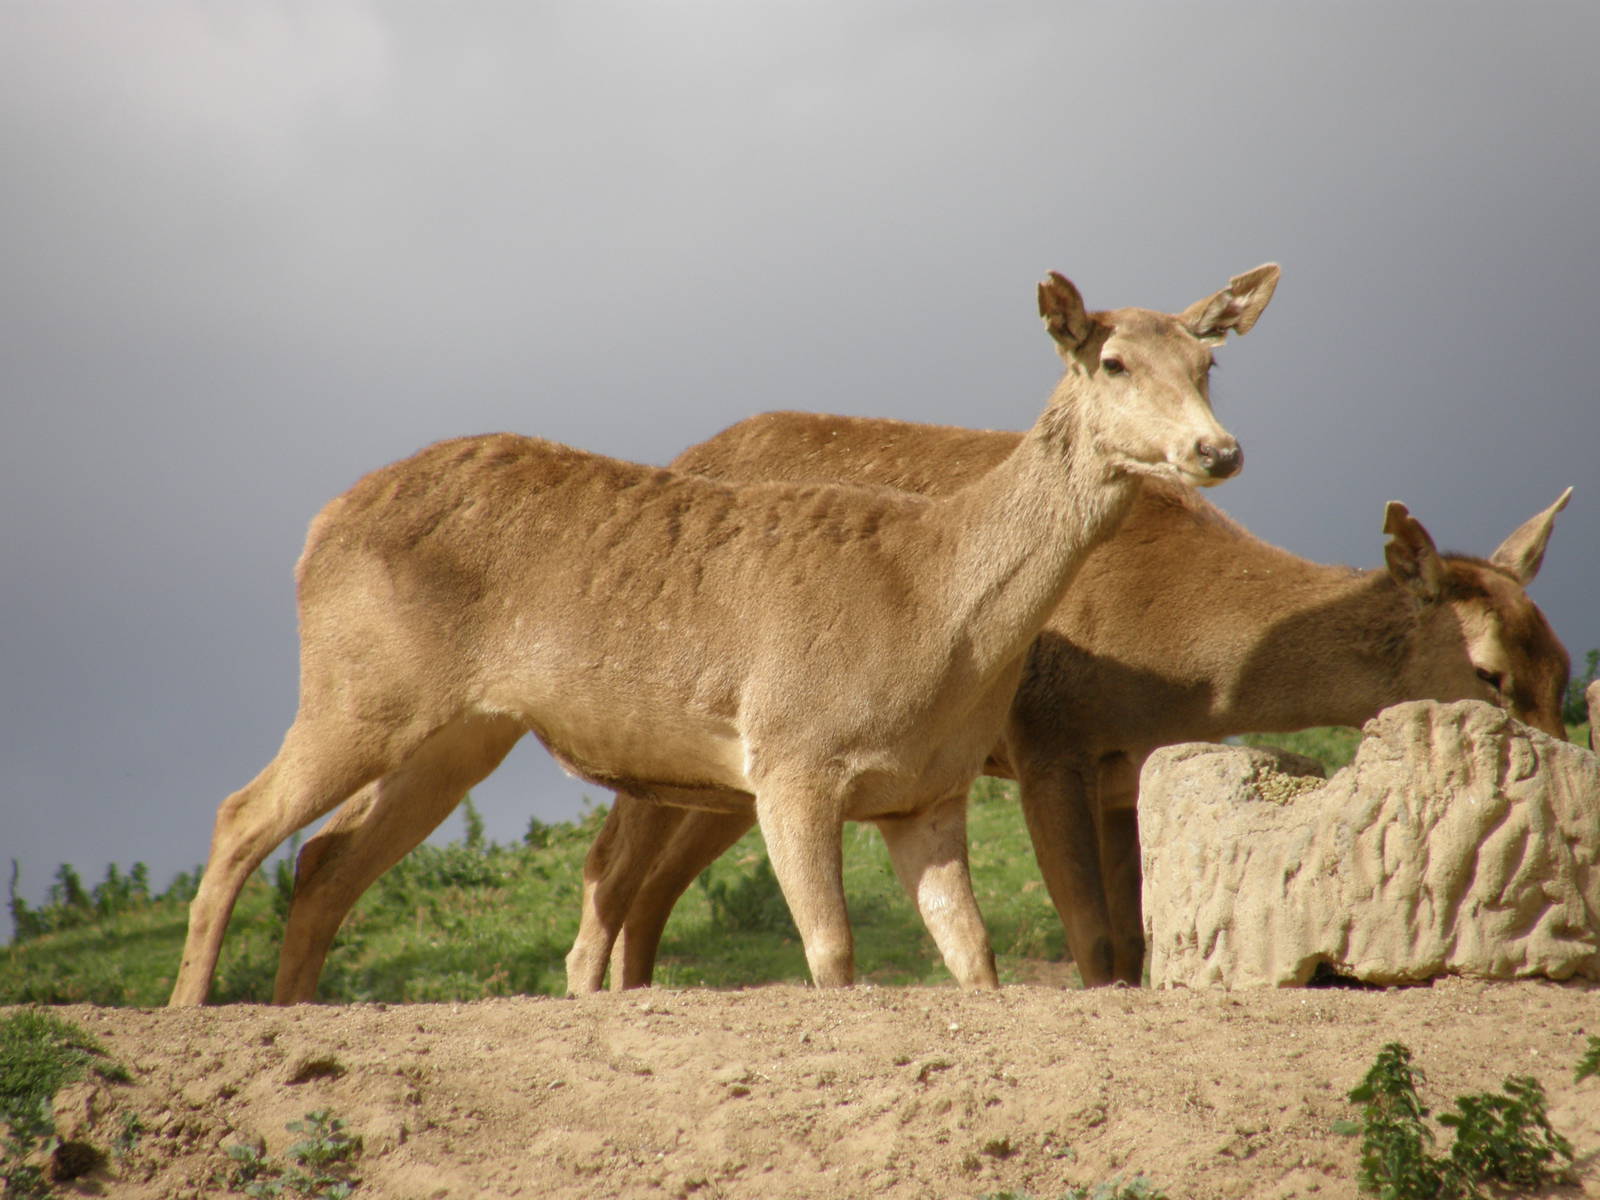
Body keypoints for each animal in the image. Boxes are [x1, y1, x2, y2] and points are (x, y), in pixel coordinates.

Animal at [167, 263, 1280, 1006]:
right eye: (1113, 360)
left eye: (1208, 362)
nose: (1216, 451)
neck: (936, 627)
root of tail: (317, 530)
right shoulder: (792, 755)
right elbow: (832, 954)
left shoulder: (928, 791)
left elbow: (976, 959)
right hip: (359, 682)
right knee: (239, 815)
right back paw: (192, 1008)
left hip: (458, 731)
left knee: (324, 856)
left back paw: (292, 1010)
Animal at [580, 417, 1572, 991]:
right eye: (1488, 671)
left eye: (1561, 663)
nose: (1565, 769)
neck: (1180, 660)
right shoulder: (1043, 735)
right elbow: (1093, 942)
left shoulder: (1122, 766)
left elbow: (1132, 942)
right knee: (614, 858)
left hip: (736, 769)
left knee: (653, 879)